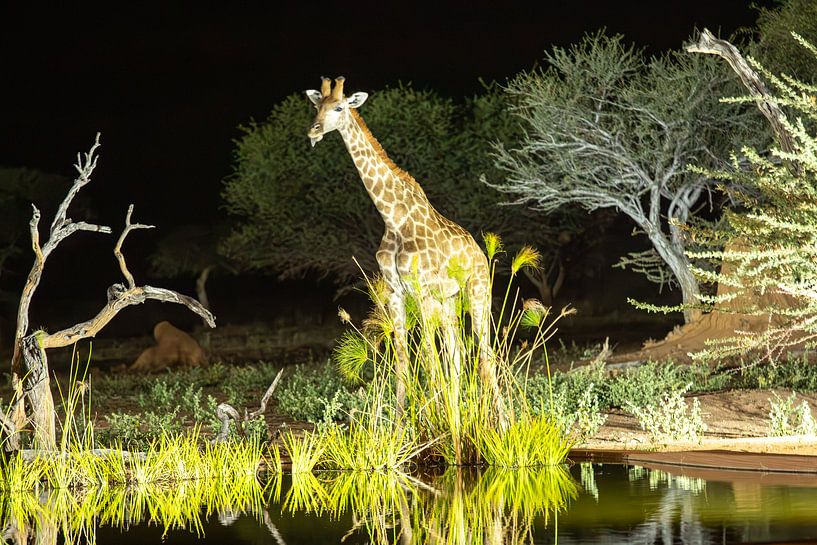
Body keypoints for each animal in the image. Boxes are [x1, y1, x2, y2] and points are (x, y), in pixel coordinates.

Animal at [305, 76, 507, 426]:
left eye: (340, 107)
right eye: (317, 105)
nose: (314, 131)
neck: (392, 216)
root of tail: (480, 254)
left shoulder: (420, 290)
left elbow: (427, 356)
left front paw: (433, 423)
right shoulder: (396, 291)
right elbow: (404, 357)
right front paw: (404, 426)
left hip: (478, 292)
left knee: (484, 353)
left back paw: (503, 423)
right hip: (449, 301)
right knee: (456, 355)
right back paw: (458, 417)